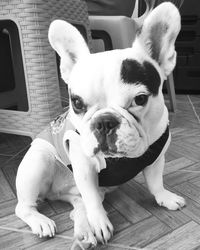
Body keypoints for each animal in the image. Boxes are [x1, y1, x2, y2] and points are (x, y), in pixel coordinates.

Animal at [15, 2, 186, 249]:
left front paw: (164, 197)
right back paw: (43, 221)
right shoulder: (84, 167)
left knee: (78, 207)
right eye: (76, 103)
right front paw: (100, 222)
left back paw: (84, 232)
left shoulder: (156, 158)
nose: (104, 122)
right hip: (38, 162)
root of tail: (56, 195)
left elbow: (155, 182)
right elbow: (93, 199)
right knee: (25, 206)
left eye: (140, 99)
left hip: (75, 195)